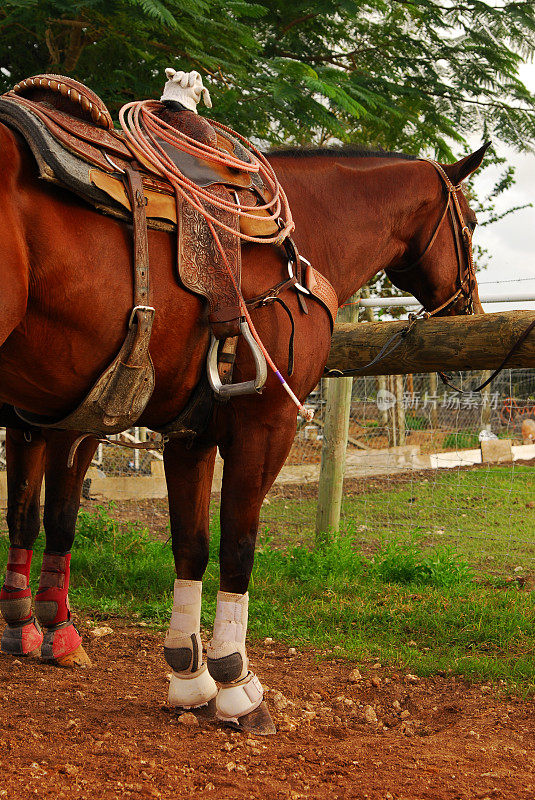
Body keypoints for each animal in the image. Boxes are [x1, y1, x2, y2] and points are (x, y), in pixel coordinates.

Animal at [0, 130, 486, 732]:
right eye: (470, 221)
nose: (471, 305)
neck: (299, 244)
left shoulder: (187, 435)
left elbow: (189, 545)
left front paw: (188, 676)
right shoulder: (262, 425)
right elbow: (235, 545)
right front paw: (235, 683)